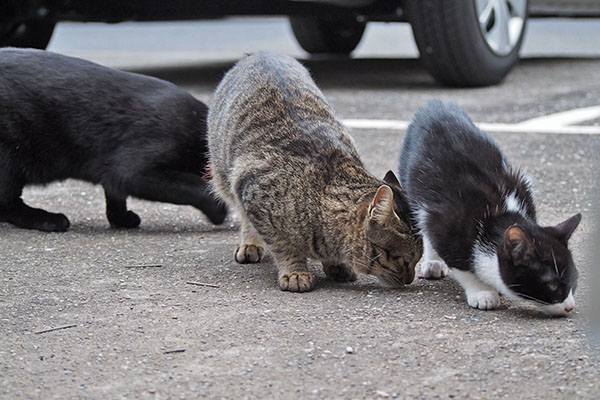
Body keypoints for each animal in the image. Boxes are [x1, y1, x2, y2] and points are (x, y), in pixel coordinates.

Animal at [0, 48, 225, 231]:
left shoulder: (112, 168)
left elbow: (115, 194)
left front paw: (121, 219)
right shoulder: (132, 170)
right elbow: (194, 186)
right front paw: (218, 209)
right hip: (9, 159)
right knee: (7, 204)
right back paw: (48, 220)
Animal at [398, 100, 580, 316]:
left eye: (573, 279)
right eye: (552, 285)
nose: (570, 306)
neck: (496, 216)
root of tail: (436, 105)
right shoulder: (446, 223)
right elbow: (461, 264)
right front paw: (482, 292)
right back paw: (434, 262)